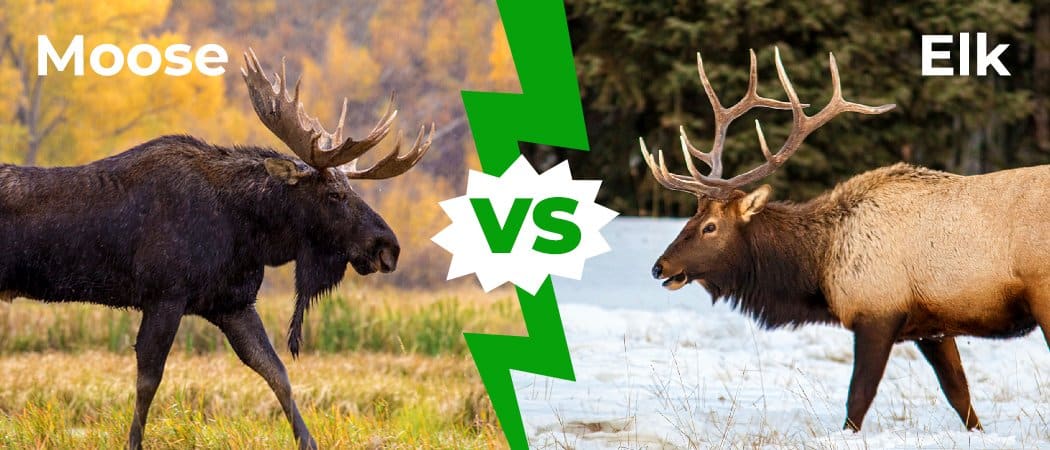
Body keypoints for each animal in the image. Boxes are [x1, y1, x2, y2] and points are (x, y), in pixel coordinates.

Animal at [0, 48, 435, 449]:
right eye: (334, 194)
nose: (388, 247)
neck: (248, 234)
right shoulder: (165, 294)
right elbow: (148, 380)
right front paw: (133, 443)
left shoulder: (232, 302)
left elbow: (277, 372)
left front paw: (308, 441)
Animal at [641, 48, 1049, 433]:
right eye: (692, 218)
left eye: (710, 226)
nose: (660, 267)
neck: (820, 268)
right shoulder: (932, 326)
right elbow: (960, 396)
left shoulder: (877, 310)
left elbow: (858, 398)